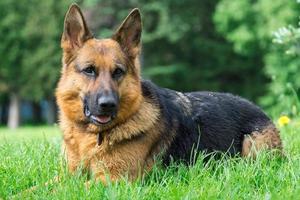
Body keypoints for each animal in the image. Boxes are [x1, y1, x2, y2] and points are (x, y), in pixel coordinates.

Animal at [55, 3, 282, 184]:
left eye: (118, 72)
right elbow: (49, 185)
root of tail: (259, 109)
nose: (108, 104)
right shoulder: (67, 174)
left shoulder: (113, 179)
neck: (92, 136)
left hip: (252, 145)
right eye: (89, 70)